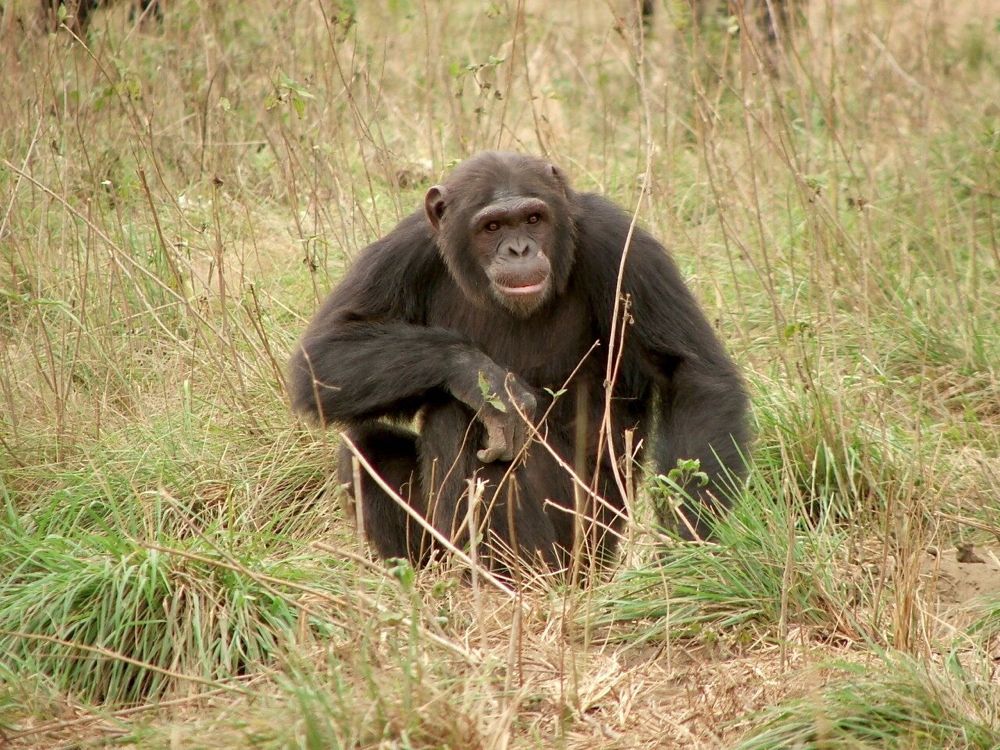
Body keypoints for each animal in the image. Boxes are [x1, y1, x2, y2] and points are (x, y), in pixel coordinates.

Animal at [290, 154, 752, 576]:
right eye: (492, 227)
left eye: (533, 218)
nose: (518, 249)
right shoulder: (404, 248)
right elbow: (324, 354)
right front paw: (483, 377)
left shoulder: (621, 244)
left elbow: (690, 373)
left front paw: (686, 552)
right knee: (366, 446)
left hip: (582, 544)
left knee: (462, 419)